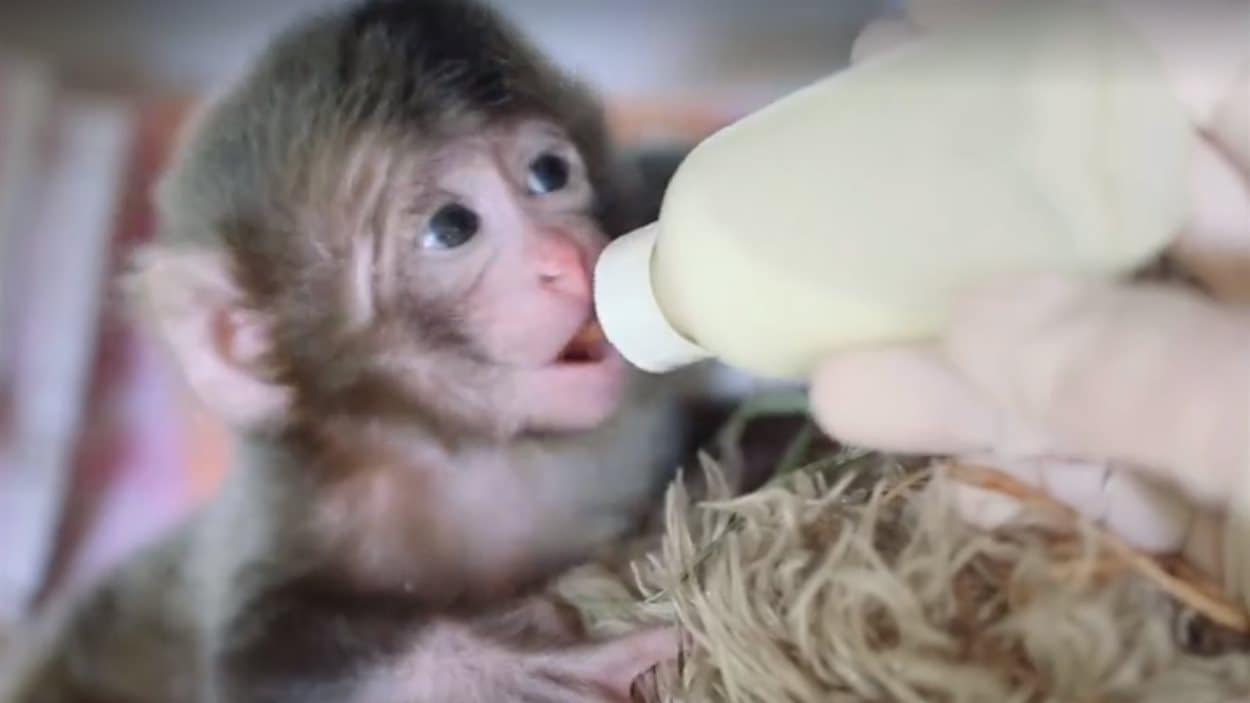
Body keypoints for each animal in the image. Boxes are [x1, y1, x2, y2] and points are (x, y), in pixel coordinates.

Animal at [0, 1, 710, 700]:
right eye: (452, 227)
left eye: (549, 174)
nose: (567, 258)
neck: (466, 452)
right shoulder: (294, 509)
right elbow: (250, 667)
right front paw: (501, 670)